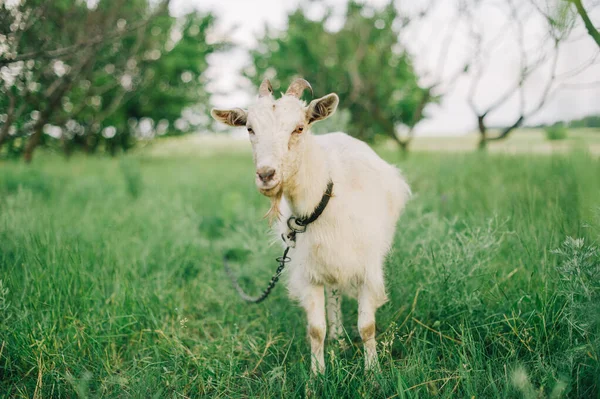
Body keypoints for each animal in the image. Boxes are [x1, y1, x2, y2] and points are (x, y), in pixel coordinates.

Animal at [209, 78, 410, 376]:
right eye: (250, 128)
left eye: (299, 127)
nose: (266, 174)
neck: (325, 200)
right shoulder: (309, 271)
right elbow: (316, 329)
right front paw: (317, 375)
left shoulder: (366, 267)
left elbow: (367, 326)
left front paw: (373, 372)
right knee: (334, 296)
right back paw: (337, 337)